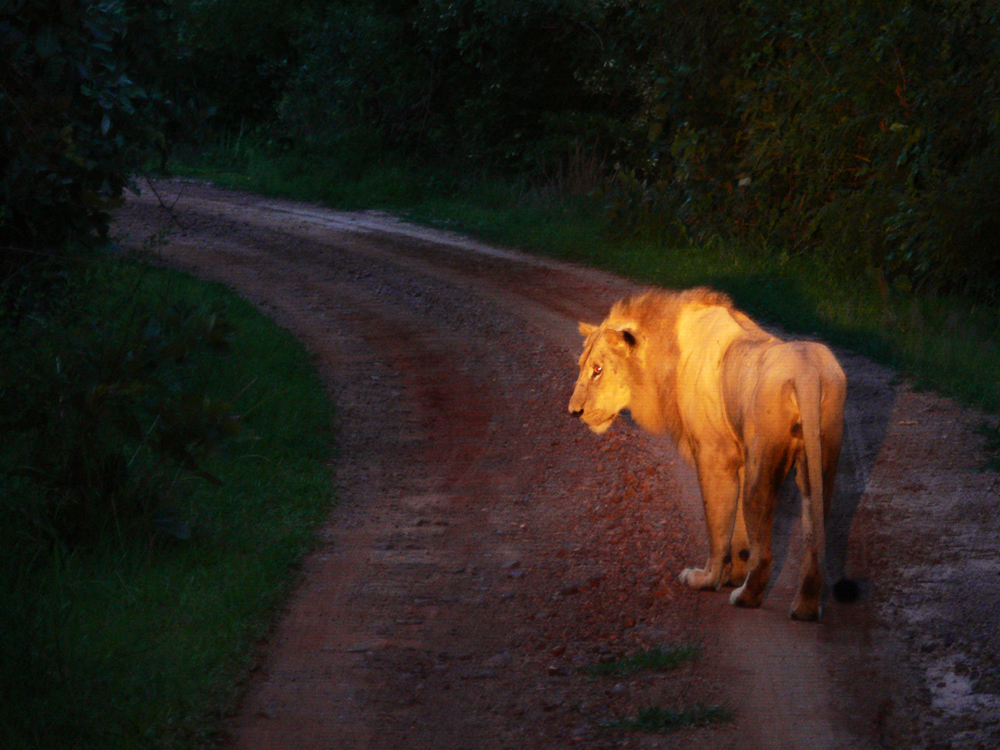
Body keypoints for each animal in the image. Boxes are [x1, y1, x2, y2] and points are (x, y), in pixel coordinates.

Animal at [572, 284, 844, 620]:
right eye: (583, 367)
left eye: (597, 369)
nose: (574, 411)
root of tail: (807, 374)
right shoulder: (738, 460)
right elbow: (737, 532)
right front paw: (732, 576)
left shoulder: (714, 456)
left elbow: (717, 525)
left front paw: (707, 579)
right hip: (820, 464)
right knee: (814, 538)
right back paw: (804, 607)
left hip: (762, 470)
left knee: (765, 550)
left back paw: (746, 597)